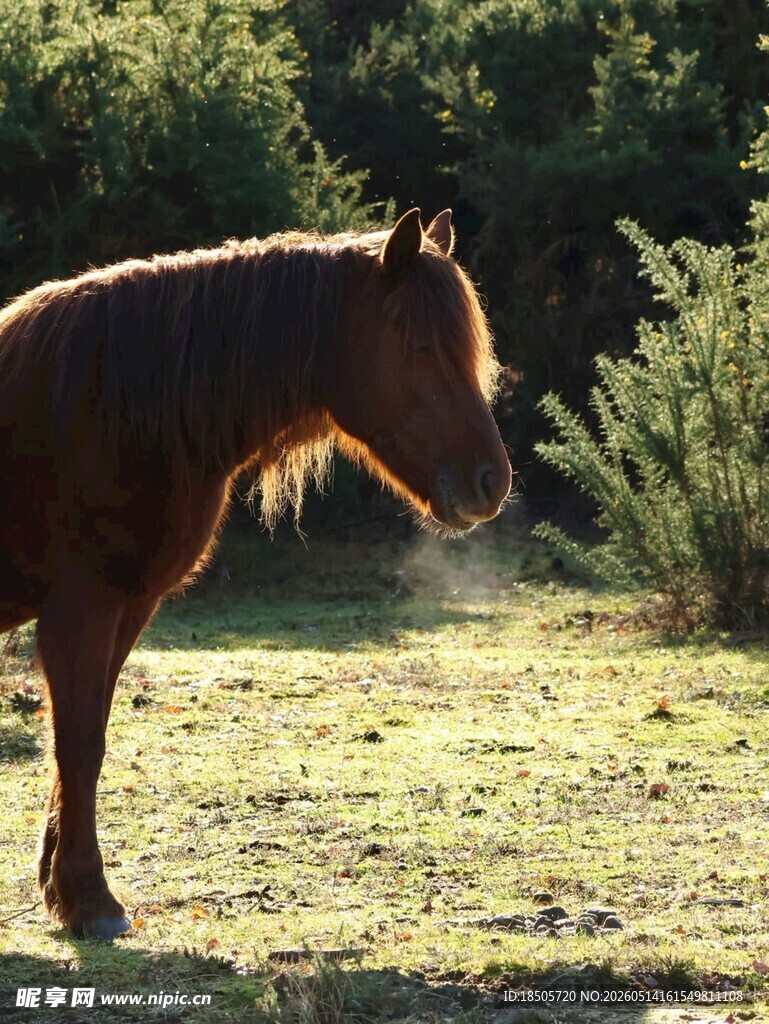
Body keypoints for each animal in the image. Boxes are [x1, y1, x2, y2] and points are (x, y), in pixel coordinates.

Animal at [0, 208, 511, 938]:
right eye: (418, 349)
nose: (490, 483)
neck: (112, 407)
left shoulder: (127, 607)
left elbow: (84, 739)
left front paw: (62, 888)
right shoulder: (81, 608)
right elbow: (78, 744)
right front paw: (90, 900)